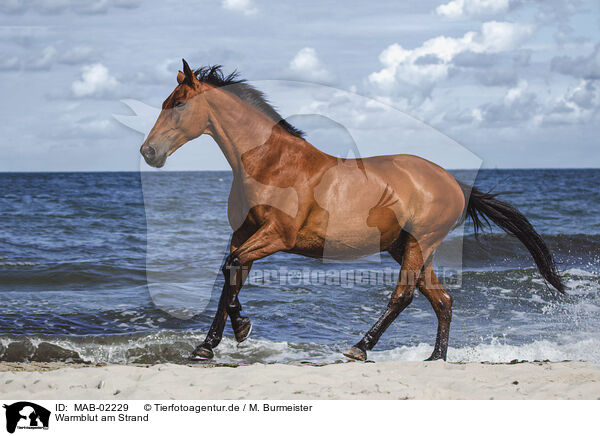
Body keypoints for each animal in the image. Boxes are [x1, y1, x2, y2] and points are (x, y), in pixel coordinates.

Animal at [138, 59, 564, 362]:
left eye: (178, 104)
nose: (148, 152)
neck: (270, 163)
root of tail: (455, 184)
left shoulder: (276, 236)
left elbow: (232, 268)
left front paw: (239, 329)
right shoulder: (244, 233)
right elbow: (231, 275)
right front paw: (208, 344)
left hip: (419, 244)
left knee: (404, 295)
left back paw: (361, 347)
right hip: (406, 247)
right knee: (441, 300)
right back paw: (435, 358)